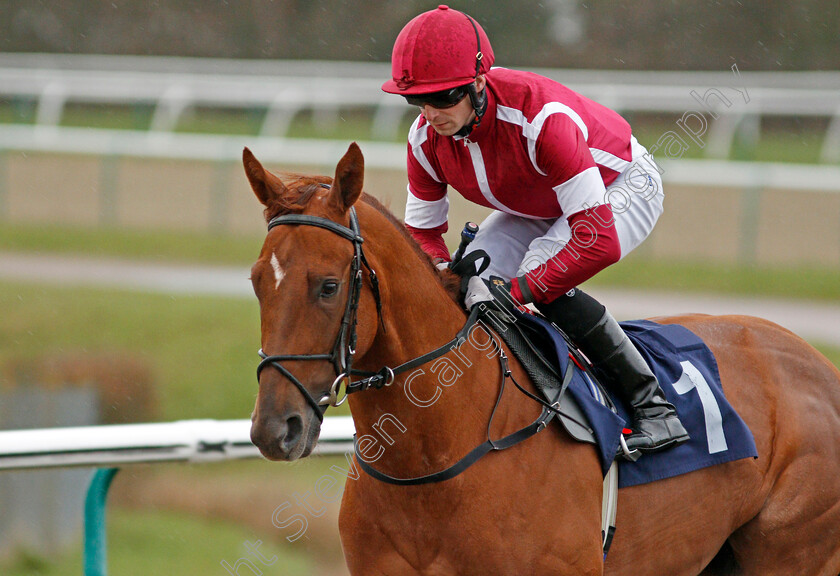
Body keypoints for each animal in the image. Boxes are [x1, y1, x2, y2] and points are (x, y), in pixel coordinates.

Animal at [243, 143, 840, 576]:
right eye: (255, 282)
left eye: (327, 285)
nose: (275, 428)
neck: (435, 457)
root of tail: (819, 365)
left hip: (793, 550)